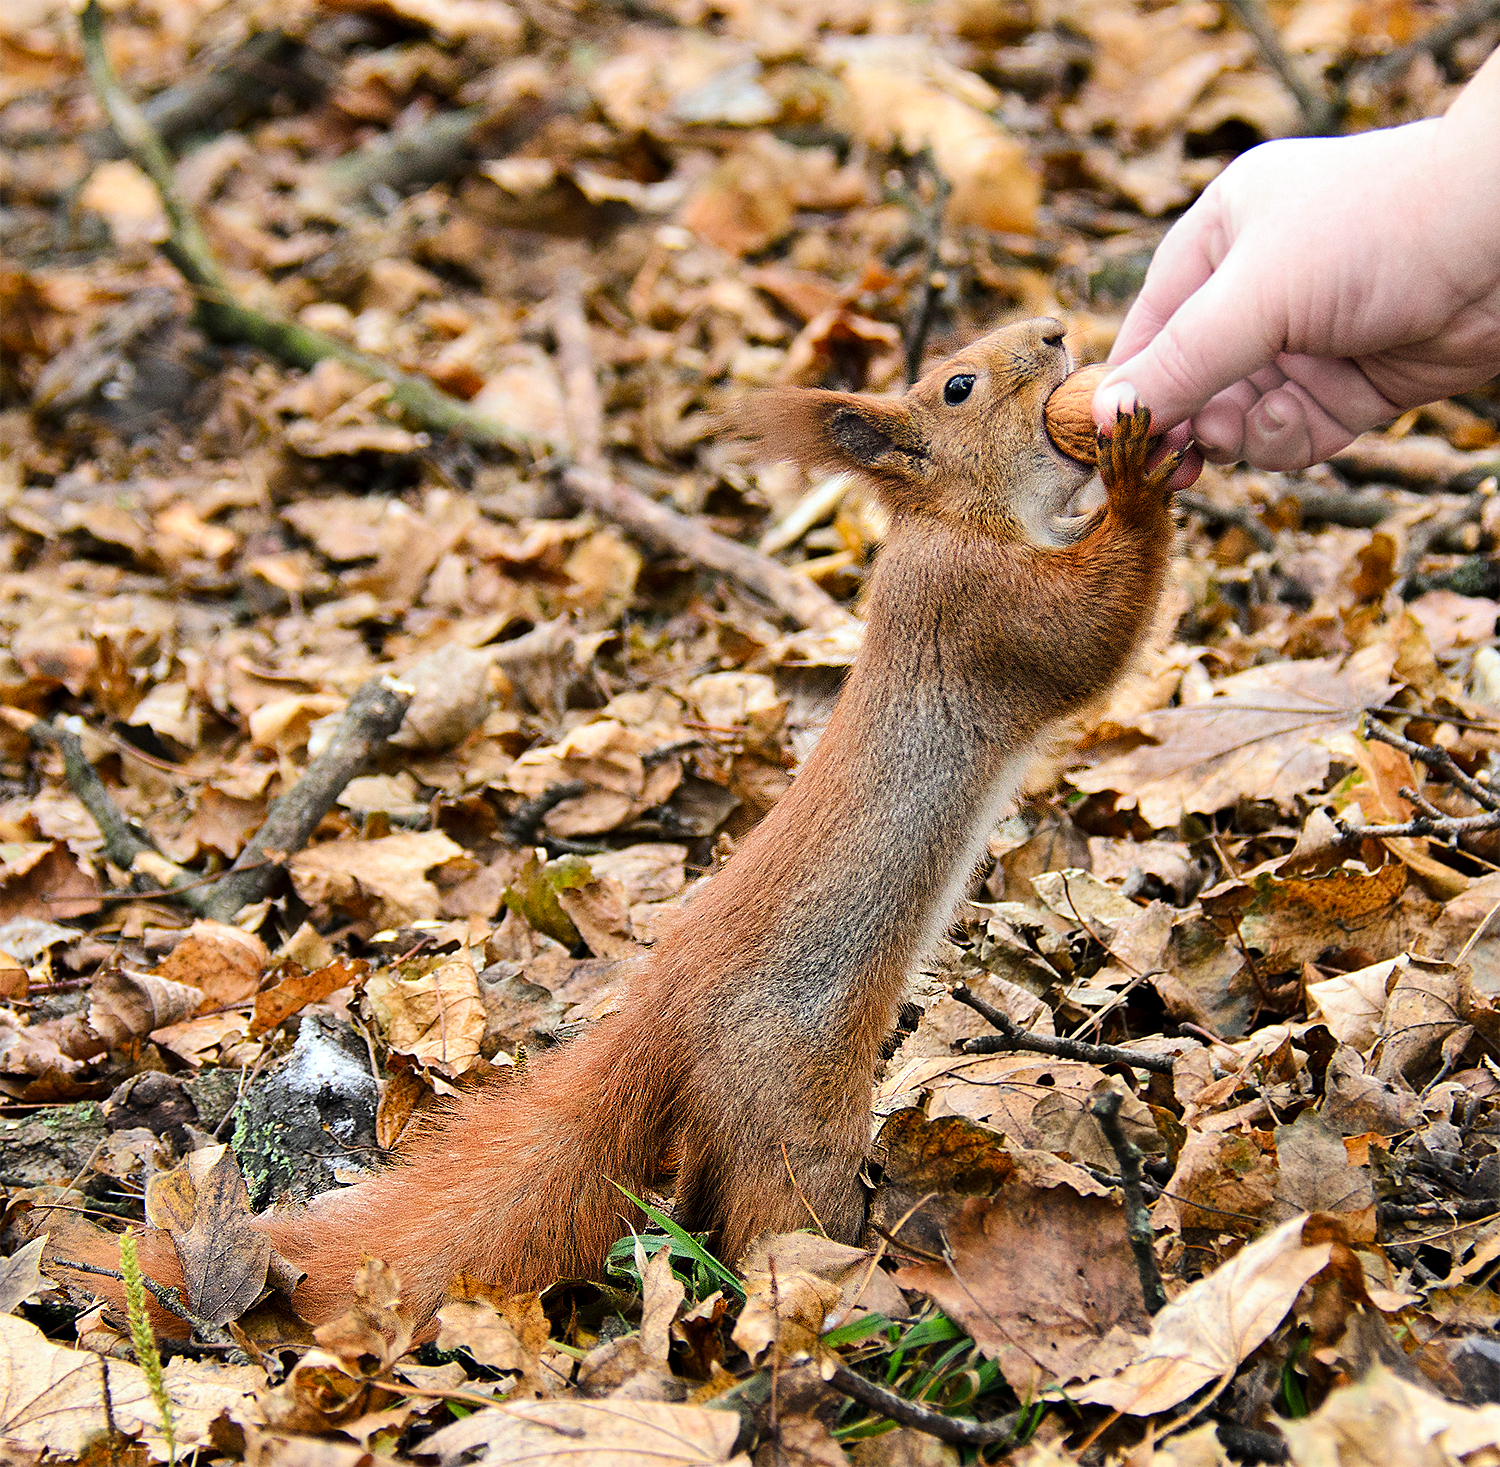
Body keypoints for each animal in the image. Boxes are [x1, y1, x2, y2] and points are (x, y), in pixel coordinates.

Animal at [52, 318, 1182, 1326]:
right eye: (958, 385)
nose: (1055, 331)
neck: (958, 516)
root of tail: (664, 1011)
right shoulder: (979, 606)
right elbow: (1086, 639)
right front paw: (1143, 476)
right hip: (792, 1107)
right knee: (770, 1226)